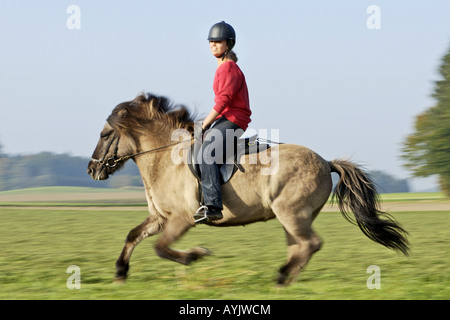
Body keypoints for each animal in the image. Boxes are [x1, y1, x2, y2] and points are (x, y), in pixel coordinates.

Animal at [86, 92, 410, 284]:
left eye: (104, 135)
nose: (92, 169)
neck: (166, 157)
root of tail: (326, 161)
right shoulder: (160, 218)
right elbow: (133, 236)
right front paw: (120, 272)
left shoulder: (181, 218)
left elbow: (161, 248)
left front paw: (196, 254)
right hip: (292, 217)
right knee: (300, 247)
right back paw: (285, 278)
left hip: (291, 213)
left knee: (310, 244)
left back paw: (280, 277)